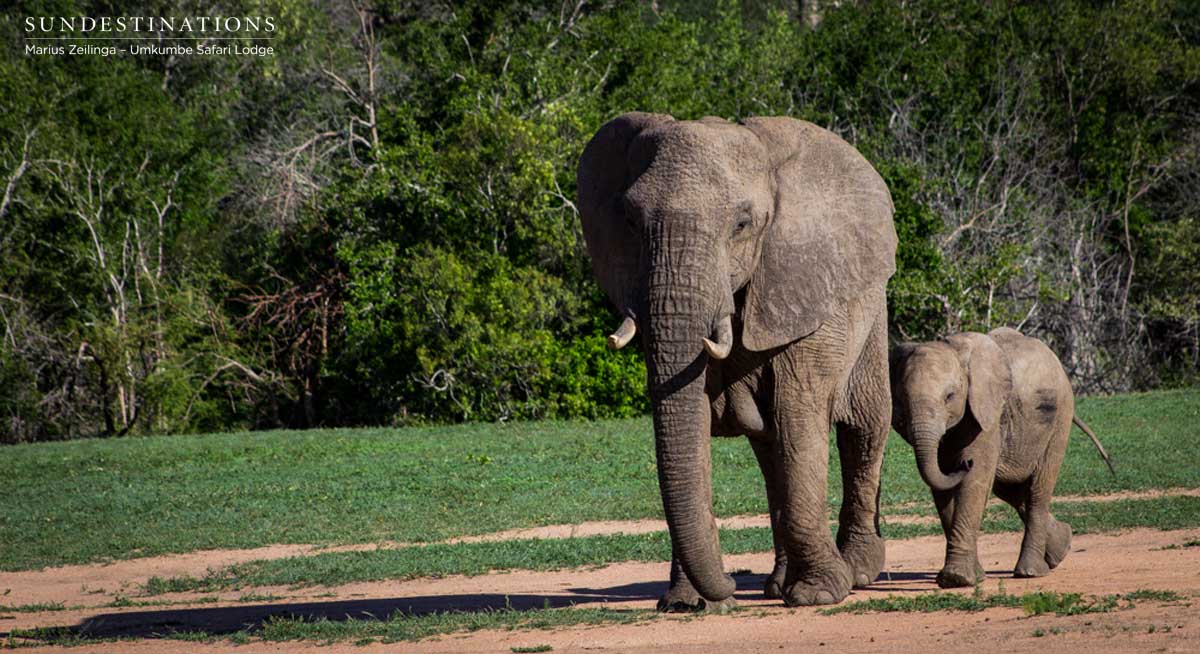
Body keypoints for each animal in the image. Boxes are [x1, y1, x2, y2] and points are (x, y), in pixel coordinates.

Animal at [576, 112, 898, 609]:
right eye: (629, 220)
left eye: (743, 224)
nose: (730, 583)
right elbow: (693, 425)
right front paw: (686, 603)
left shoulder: (802, 287)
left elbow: (798, 416)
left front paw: (818, 594)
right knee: (770, 449)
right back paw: (777, 585)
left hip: (870, 309)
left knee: (863, 427)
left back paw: (857, 572)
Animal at [889, 327, 1113, 587]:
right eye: (902, 399)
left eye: (950, 396)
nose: (964, 463)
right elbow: (942, 489)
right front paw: (971, 577)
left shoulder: (987, 414)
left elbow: (975, 481)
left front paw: (957, 579)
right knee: (1012, 491)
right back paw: (1061, 548)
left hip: (1060, 418)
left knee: (1038, 490)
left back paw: (1030, 571)